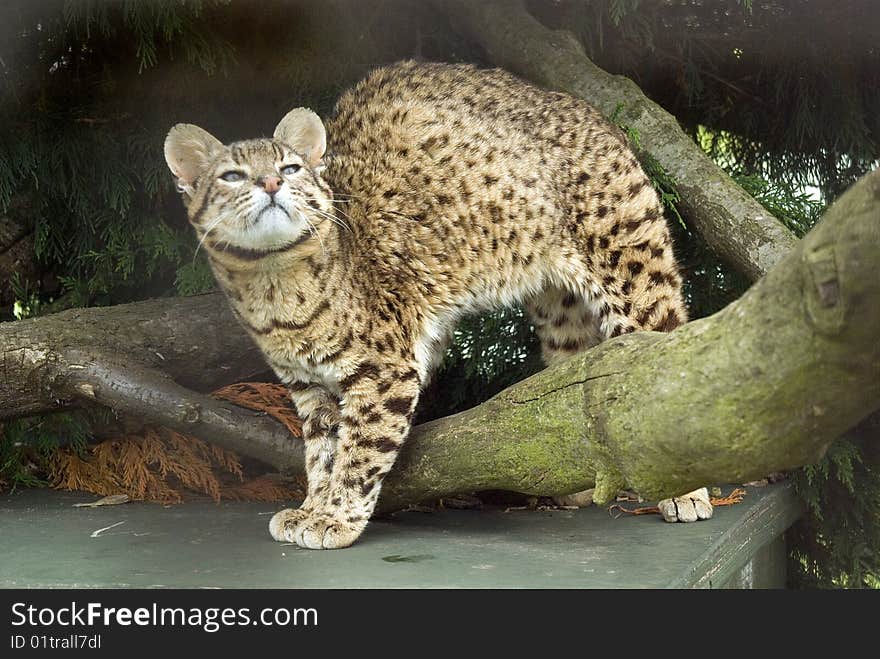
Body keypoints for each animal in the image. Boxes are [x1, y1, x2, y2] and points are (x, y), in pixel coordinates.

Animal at [165, 62, 712, 548]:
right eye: (232, 176)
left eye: (290, 167)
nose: (272, 184)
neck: (274, 284)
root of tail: (589, 109)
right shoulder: (308, 388)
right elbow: (322, 453)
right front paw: (313, 506)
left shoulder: (385, 372)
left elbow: (360, 453)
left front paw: (335, 517)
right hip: (560, 309)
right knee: (571, 377)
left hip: (632, 270)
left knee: (666, 367)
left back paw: (686, 491)